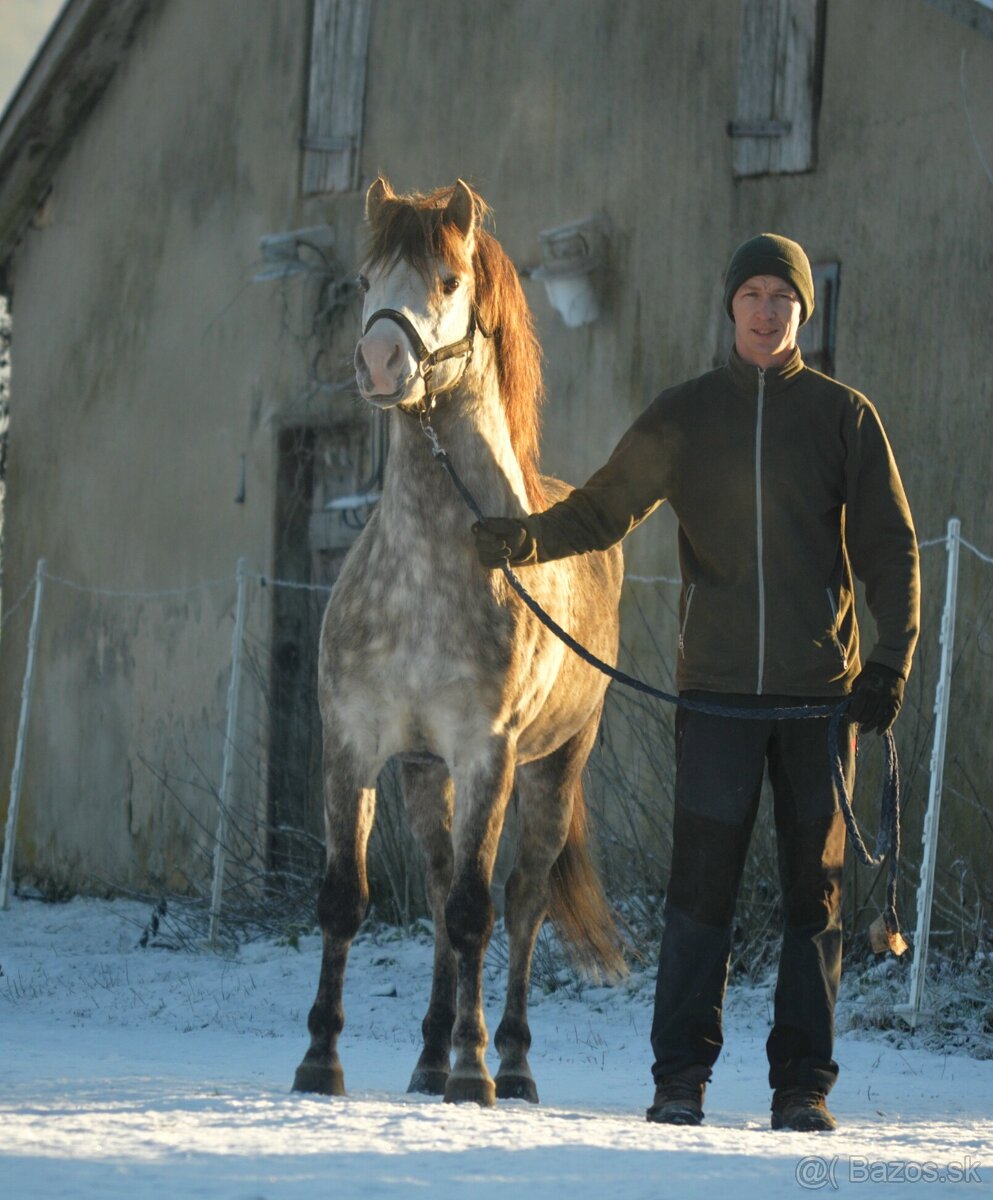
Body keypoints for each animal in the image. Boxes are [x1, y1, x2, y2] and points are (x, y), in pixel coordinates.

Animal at [292, 177, 626, 1107]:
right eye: (366, 279)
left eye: (447, 280)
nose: (379, 362)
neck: (426, 575)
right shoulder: (354, 745)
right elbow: (347, 897)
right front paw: (320, 1062)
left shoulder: (488, 754)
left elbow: (480, 912)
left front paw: (474, 1073)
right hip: (422, 772)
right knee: (443, 888)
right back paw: (428, 1058)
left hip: (553, 767)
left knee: (521, 898)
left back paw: (507, 1064)